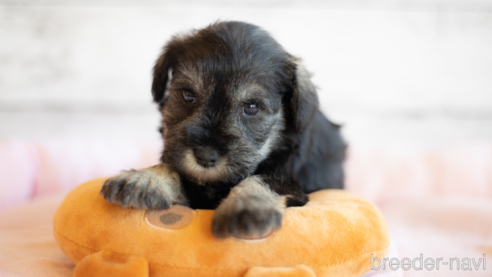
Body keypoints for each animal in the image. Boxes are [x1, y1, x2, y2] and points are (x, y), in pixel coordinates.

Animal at [100, 21, 346, 238]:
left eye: (252, 107)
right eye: (188, 95)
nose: (205, 156)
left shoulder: (291, 185)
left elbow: (263, 180)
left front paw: (246, 206)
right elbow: (175, 169)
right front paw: (145, 179)